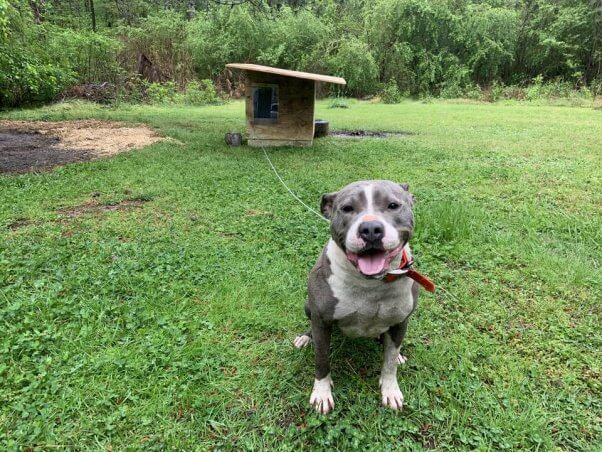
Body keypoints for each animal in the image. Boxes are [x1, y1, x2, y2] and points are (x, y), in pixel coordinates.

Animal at [292, 179, 418, 414]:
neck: (370, 284)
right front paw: (322, 394)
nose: (370, 229)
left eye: (393, 206)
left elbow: (389, 363)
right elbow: (321, 360)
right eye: (347, 208)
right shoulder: (321, 321)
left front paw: (390, 390)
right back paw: (305, 338)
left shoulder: (401, 321)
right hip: (309, 308)